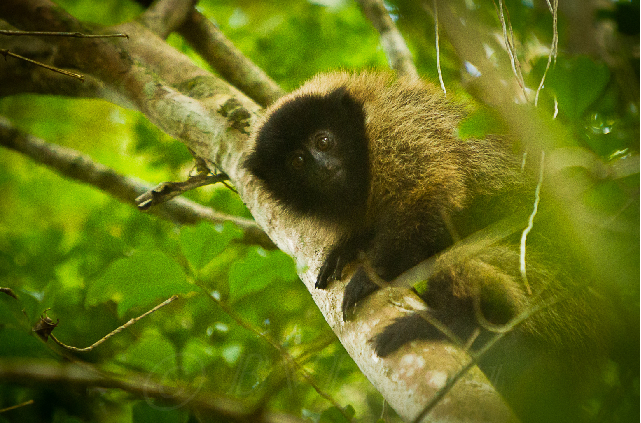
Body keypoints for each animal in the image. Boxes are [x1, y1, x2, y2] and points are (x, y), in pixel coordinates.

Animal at [244, 73, 620, 423]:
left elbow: (430, 195)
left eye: (324, 140)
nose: (322, 167)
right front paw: (347, 249)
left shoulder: (394, 134)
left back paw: (461, 324)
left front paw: (369, 277)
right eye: (297, 160)